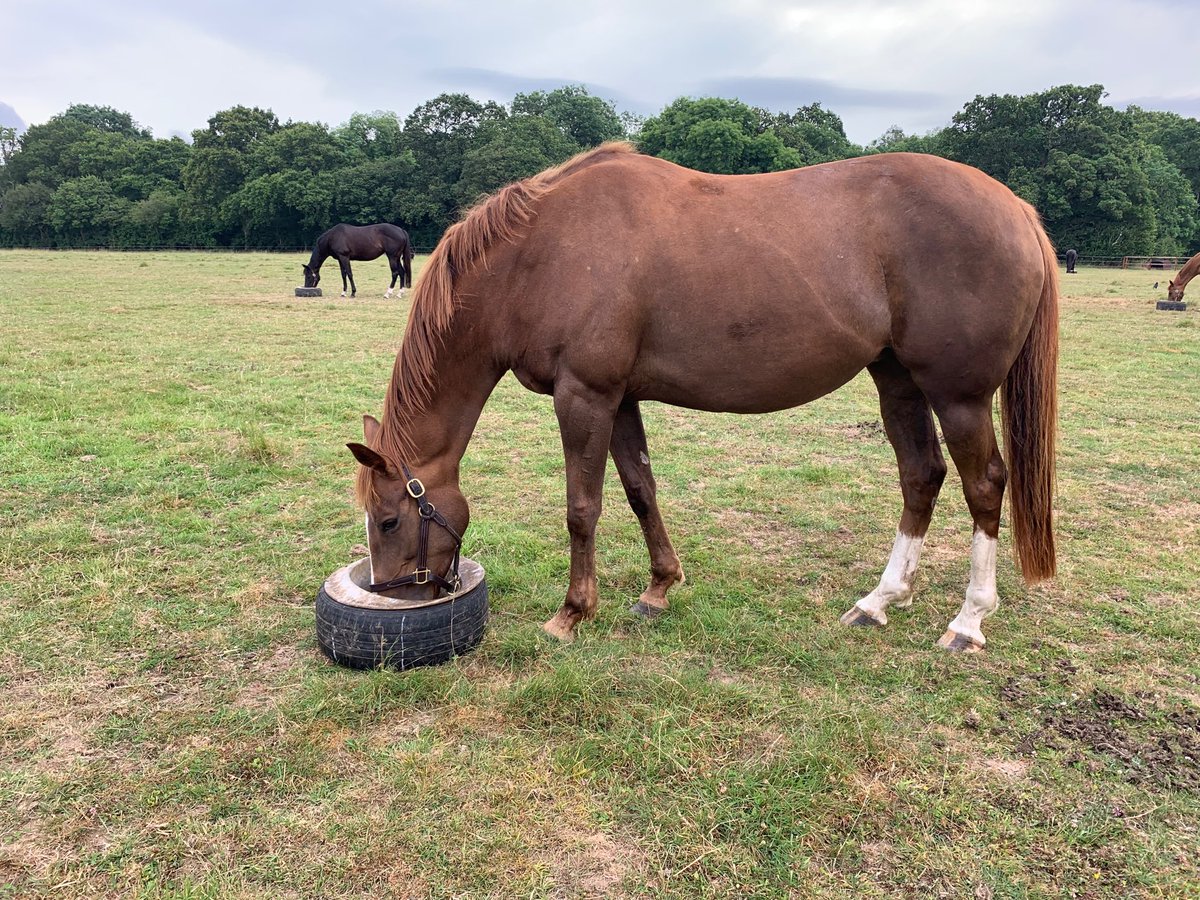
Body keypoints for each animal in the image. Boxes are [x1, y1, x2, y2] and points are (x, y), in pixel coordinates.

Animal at [346, 142, 1059, 653]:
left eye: (389, 520)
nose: (394, 601)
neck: (537, 256)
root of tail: (1016, 208)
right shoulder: (619, 398)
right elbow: (640, 489)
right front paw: (659, 588)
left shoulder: (584, 396)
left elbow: (583, 508)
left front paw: (572, 613)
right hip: (897, 380)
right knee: (922, 476)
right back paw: (880, 601)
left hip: (958, 395)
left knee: (983, 486)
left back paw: (967, 622)